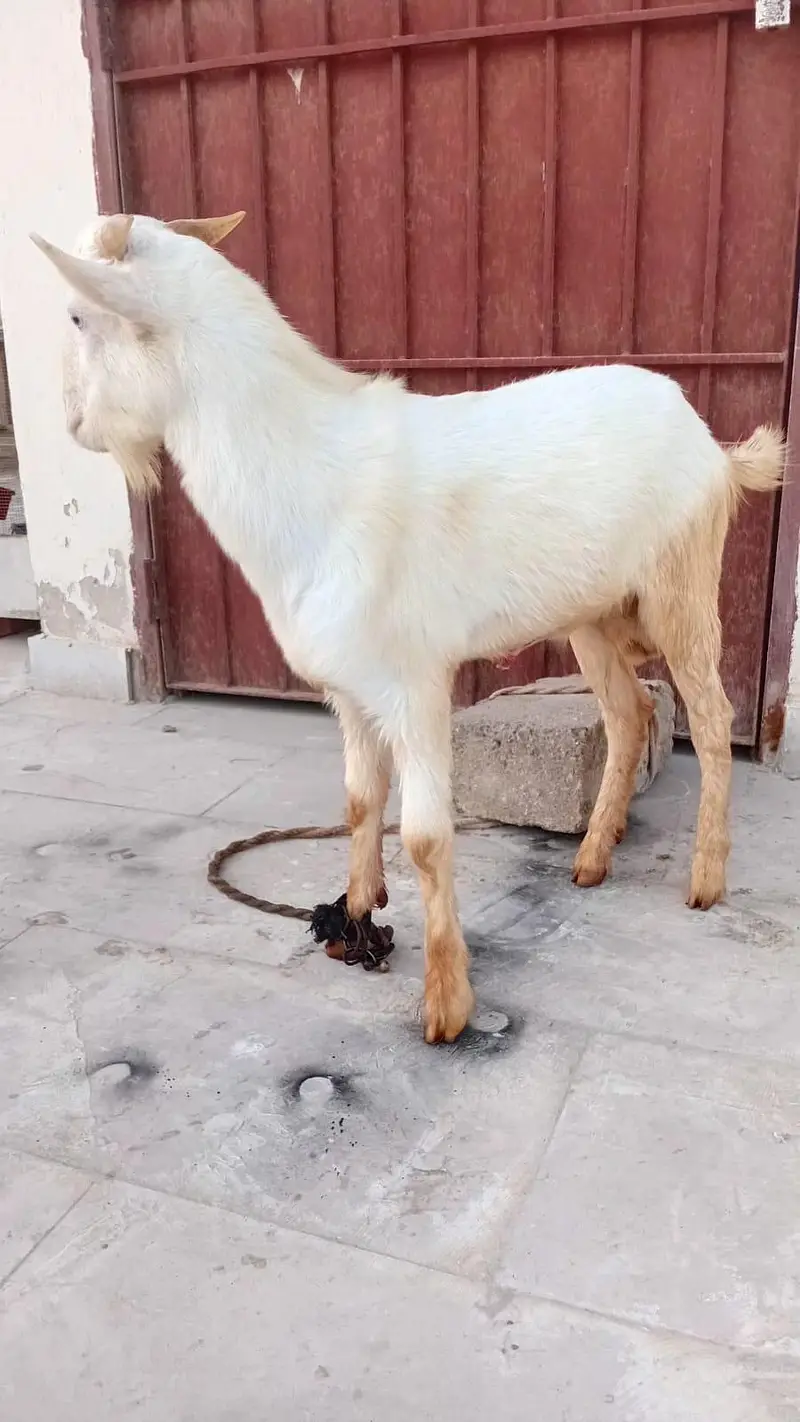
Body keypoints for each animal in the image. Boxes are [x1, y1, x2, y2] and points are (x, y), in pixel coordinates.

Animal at [31, 211, 785, 1044]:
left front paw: (447, 1004)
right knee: (631, 713)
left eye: (77, 316)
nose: (71, 422)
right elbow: (360, 801)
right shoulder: (350, 686)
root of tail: (712, 445)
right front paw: (356, 917)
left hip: (682, 587)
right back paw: (592, 858)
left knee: (710, 719)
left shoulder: (416, 682)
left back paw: (706, 879)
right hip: (589, 614)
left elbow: (425, 837)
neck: (314, 479)